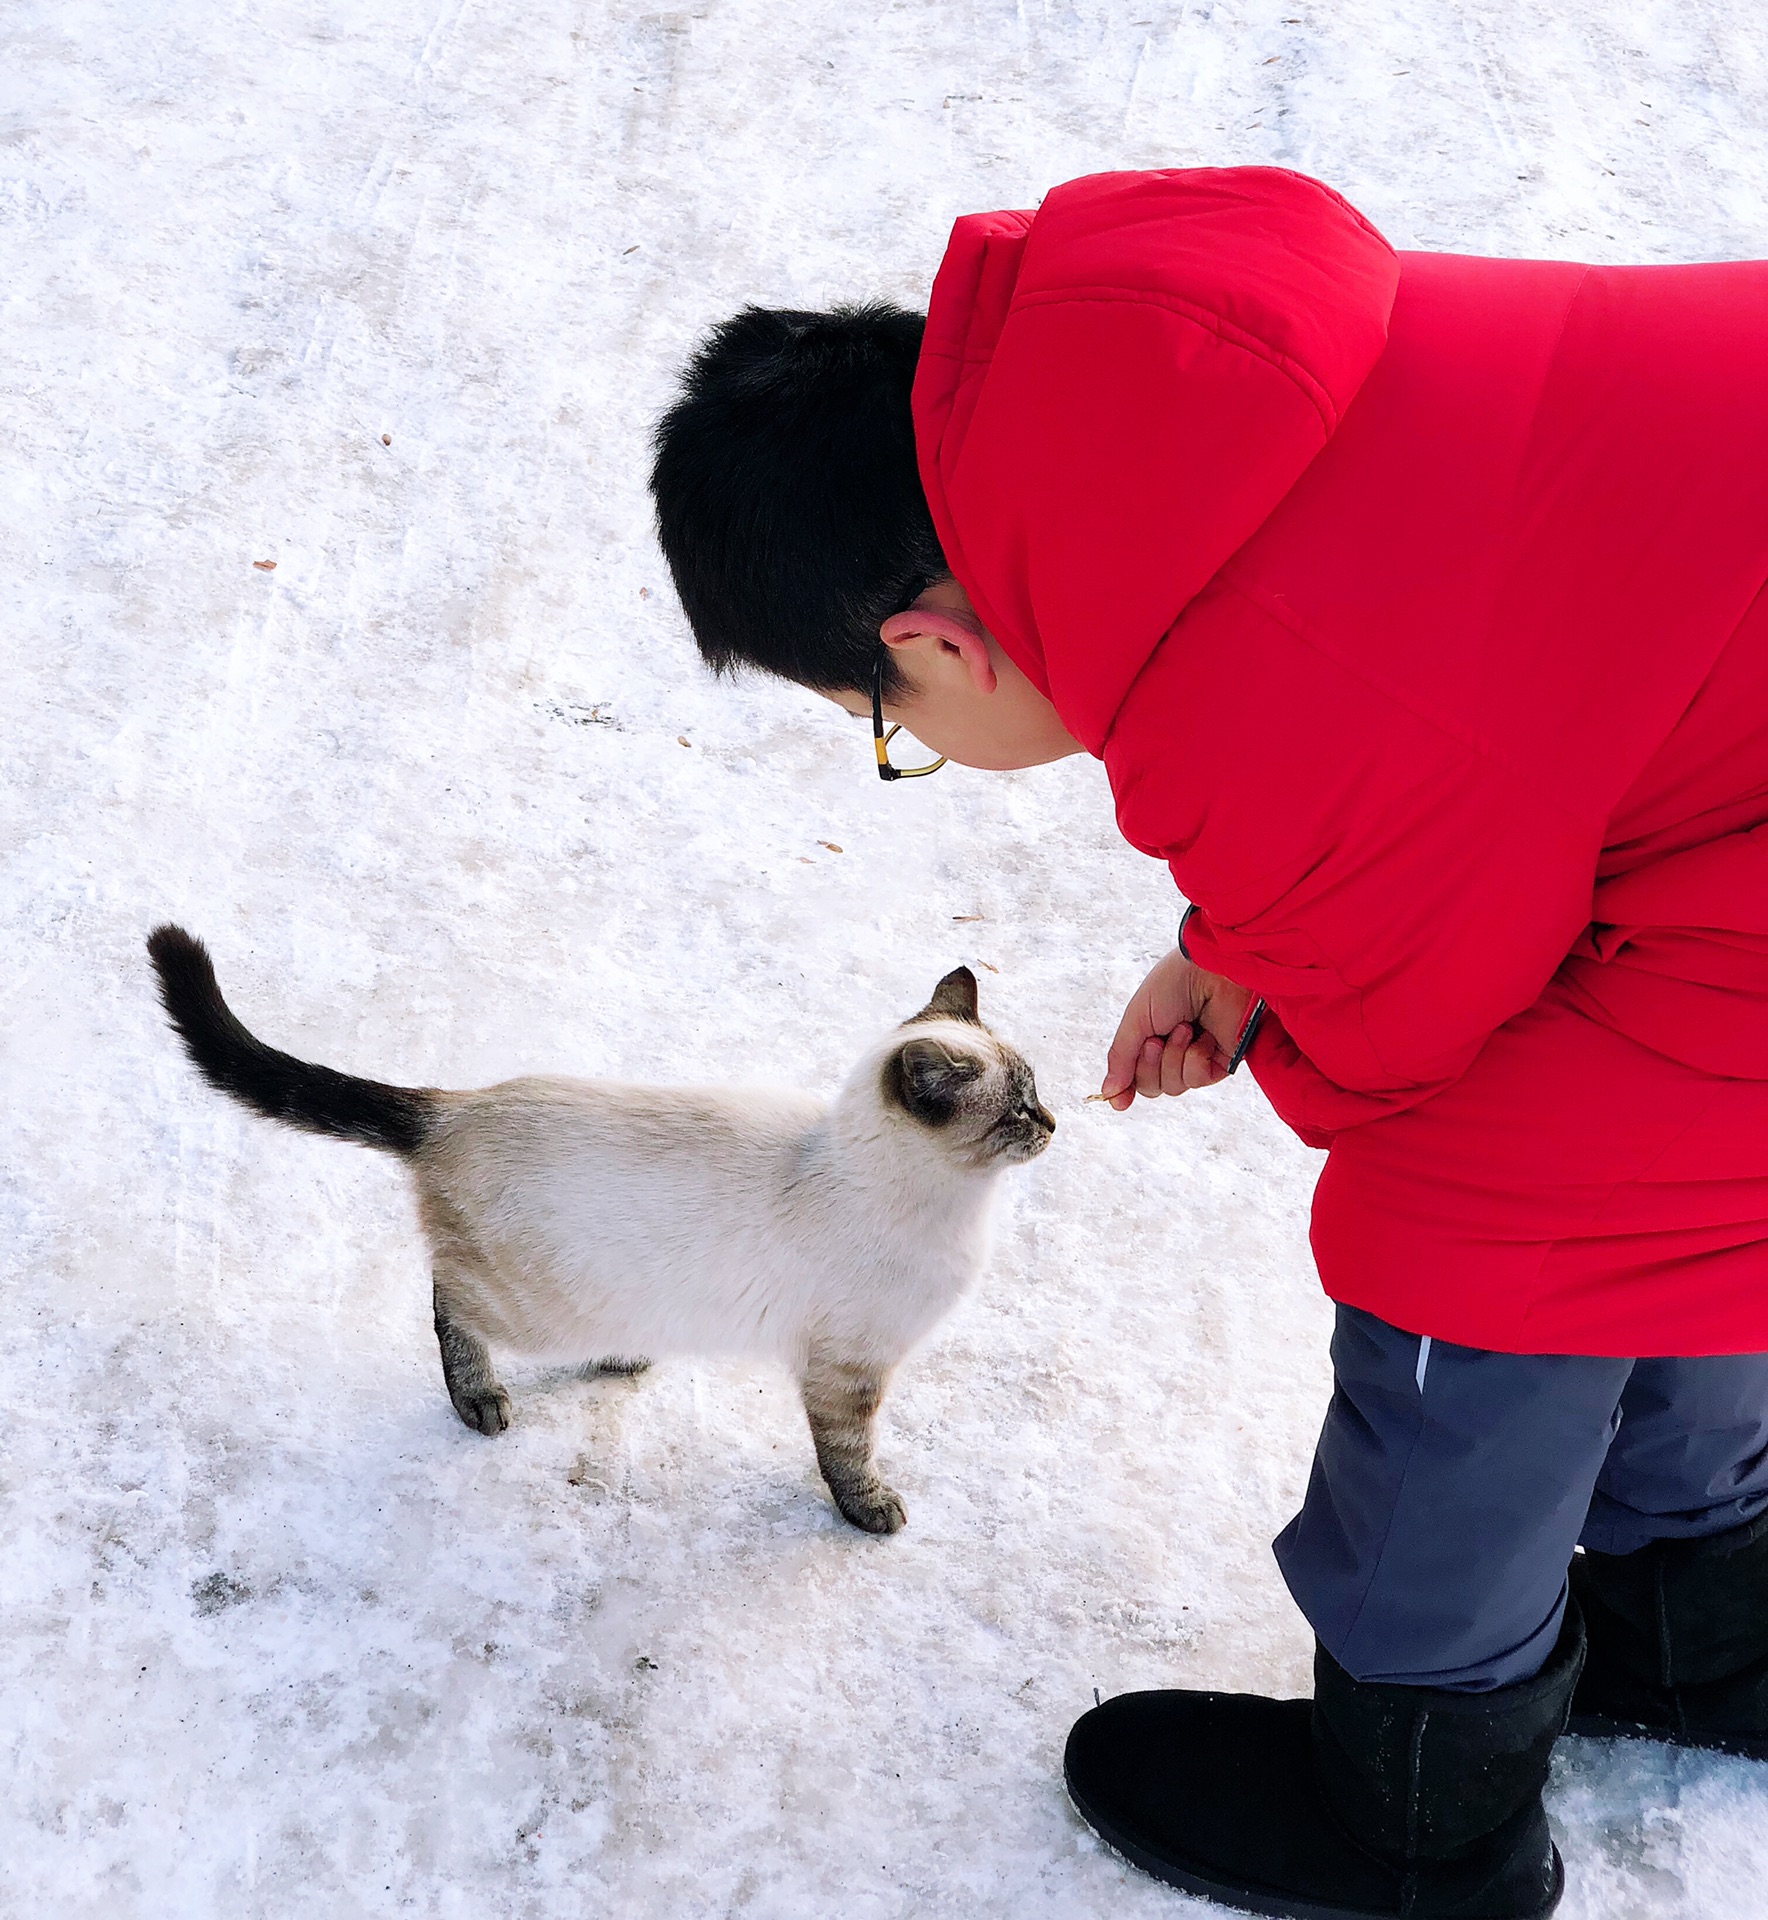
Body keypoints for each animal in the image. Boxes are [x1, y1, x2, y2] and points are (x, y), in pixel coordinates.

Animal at [148, 921, 1051, 1536]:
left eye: (1037, 1094)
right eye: (1015, 1113)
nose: (1055, 1125)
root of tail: (454, 1109)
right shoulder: (850, 1370)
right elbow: (849, 1457)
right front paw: (871, 1511)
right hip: (531, 1308)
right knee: (447, 1302)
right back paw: (480, 1399)